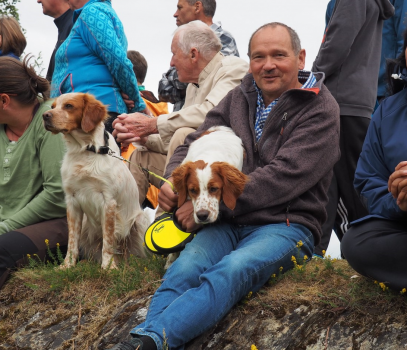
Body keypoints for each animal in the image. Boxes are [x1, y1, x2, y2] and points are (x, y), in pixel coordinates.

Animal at [42, 91, 150, 270]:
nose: (45, 116)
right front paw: (67, 265)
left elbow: (108, 240)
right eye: (52, 106)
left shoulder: (108, 201)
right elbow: (72, 241)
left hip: (141, 219)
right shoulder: (72, 201)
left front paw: (108, 268)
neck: (86, 150)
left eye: (69, 106)